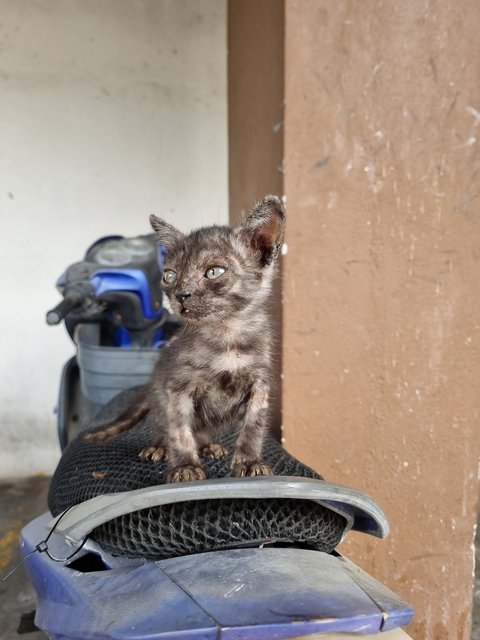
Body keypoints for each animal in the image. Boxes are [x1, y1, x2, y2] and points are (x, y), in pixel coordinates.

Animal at [84, 192, 284, 482]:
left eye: (214, 271)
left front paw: (248, 462)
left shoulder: (260, 384)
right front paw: (185, 466)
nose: (181, 295)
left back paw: (209, 446)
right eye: (170, 275)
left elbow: (253, 427)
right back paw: (159, 447)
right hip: (160, 394)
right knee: (165, 427)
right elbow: (179, 429)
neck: (226, 337)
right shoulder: (177, 388)